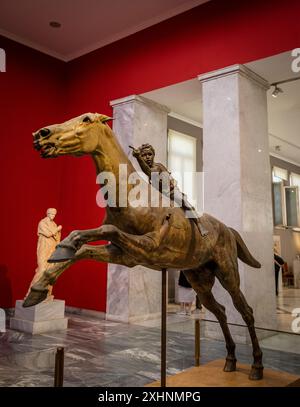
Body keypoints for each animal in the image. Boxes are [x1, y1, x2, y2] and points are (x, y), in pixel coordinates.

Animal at [26, 111, 264, 380]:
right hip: (199, 280)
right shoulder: (126, 255)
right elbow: (83, 248)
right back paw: (230, 361)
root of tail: (228, 229)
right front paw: (38, 288)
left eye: (86, 119)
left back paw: (256, 367)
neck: (131, 196)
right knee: (221, 311)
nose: (41, 134)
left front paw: (63, 247)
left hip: (228, 273)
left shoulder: (148, 247)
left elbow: (103, 231)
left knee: (245, 310)